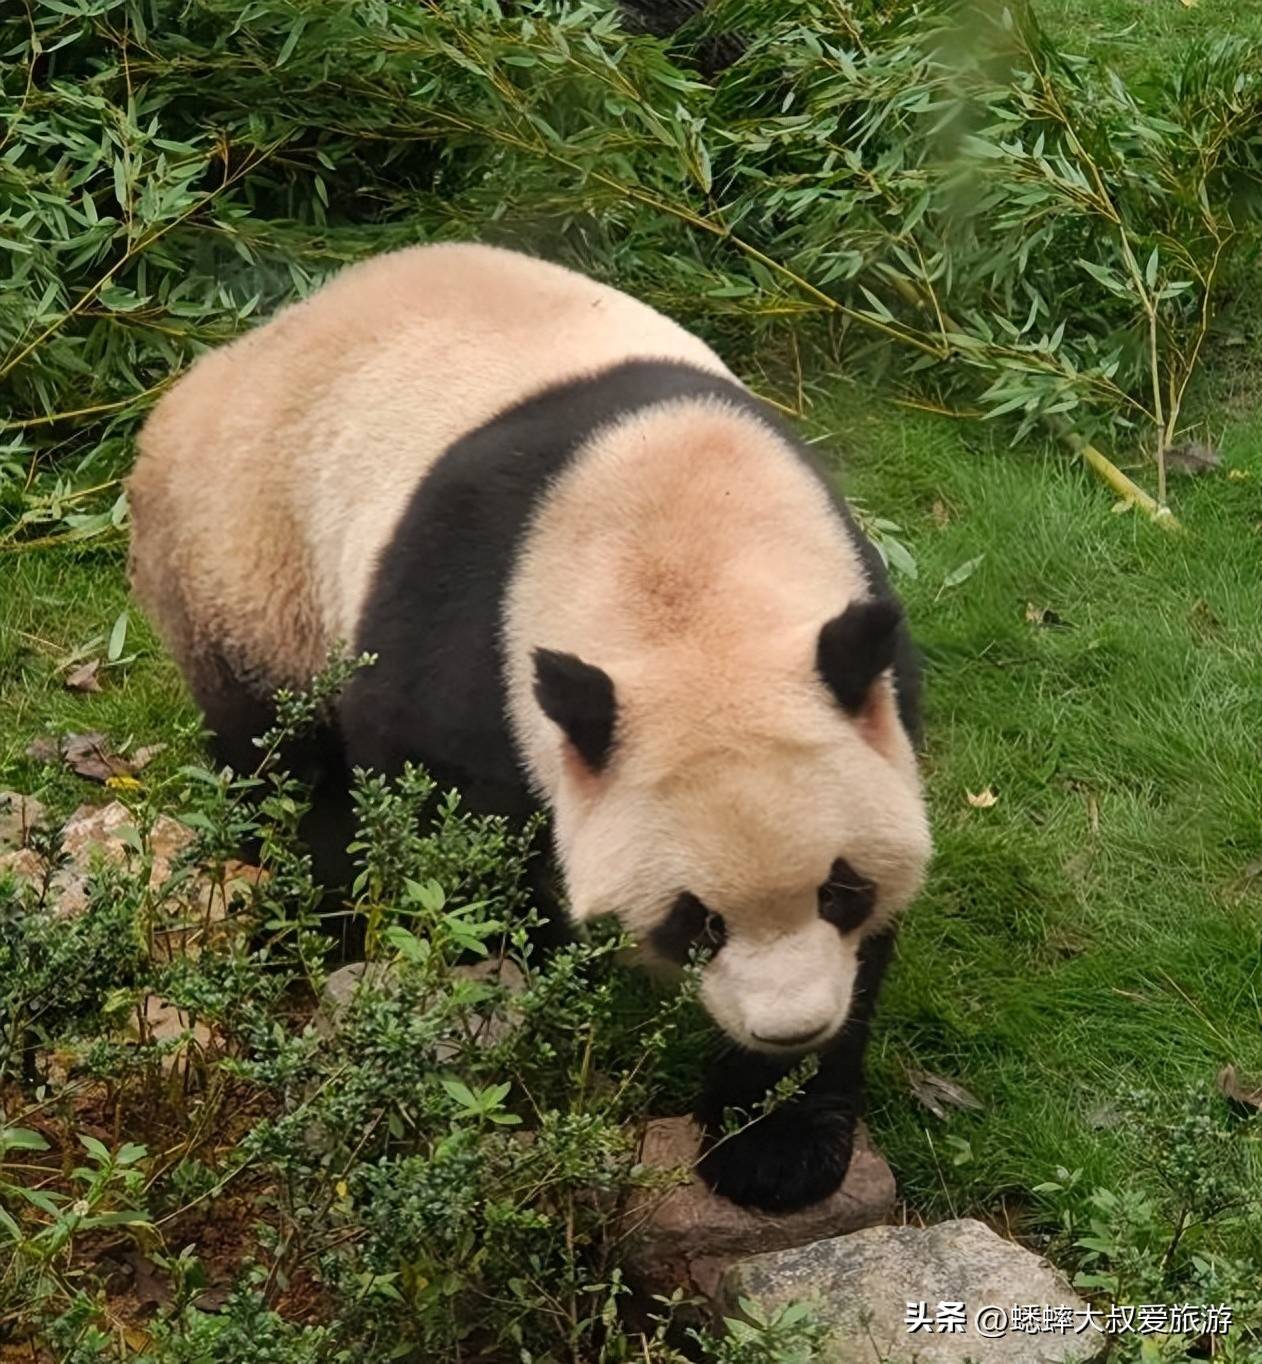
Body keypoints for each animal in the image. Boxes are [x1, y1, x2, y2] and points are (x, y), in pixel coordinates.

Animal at [128, 240, 933, 1211]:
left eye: (838, 889)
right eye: (696, 921)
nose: (790, 1028)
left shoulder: (865, 664)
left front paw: (774, 1145)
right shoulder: (468, 638)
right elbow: (448, 839)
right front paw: (517, 987)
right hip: (249, 558)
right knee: (282, 758)